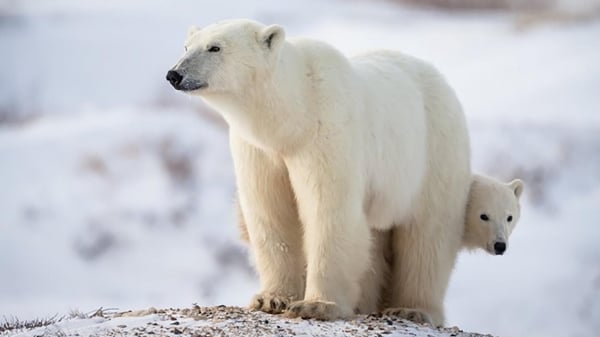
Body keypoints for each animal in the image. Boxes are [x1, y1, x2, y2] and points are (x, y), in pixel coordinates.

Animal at [166, 19, 472, 324]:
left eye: (215, 47)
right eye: (187, 46)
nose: (174, 74)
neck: (295, 113)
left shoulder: (327, 132)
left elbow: (329, 210)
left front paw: (316, 305)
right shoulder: (259, 150)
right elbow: (272, 213)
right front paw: (271, 298)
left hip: (434, 154)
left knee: (428, 237)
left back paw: (412, 308)